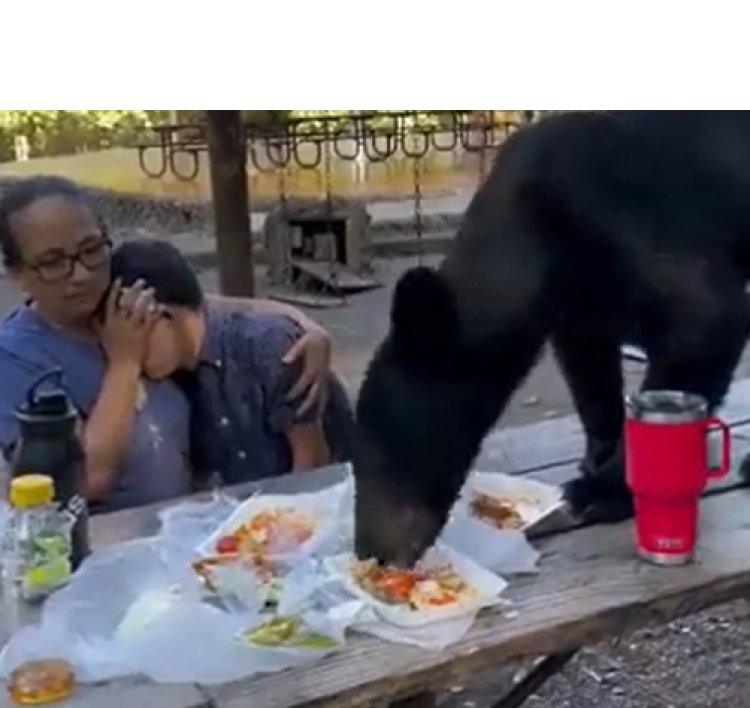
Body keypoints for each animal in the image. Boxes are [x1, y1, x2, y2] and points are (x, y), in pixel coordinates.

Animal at [356, 110, 750, 568]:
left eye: (381, 456)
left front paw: (604, 491)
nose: (370, 552)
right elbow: (590, 372)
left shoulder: (628, 220)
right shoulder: (582, 305)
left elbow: (708, 319)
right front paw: (594, 462)